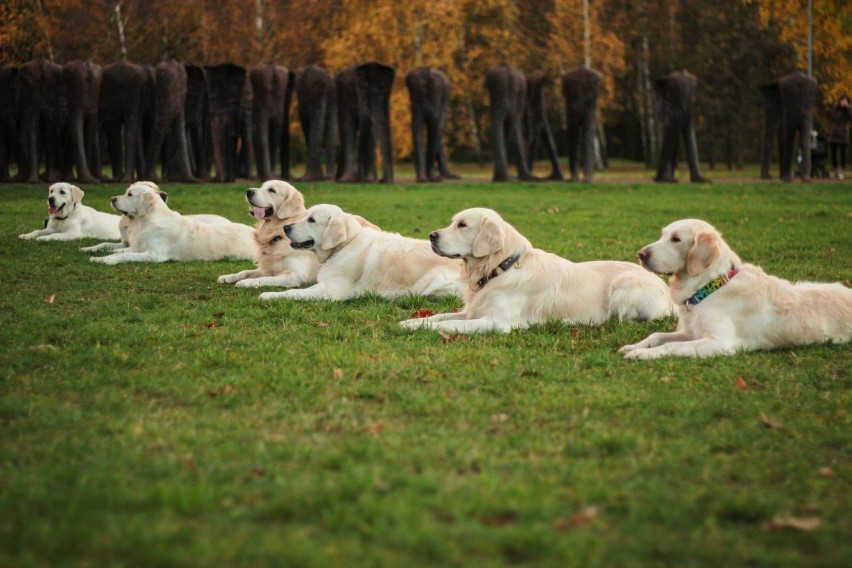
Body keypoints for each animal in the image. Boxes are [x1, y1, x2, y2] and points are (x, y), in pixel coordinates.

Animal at [91, 181, 256, 266]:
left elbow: (125, 256)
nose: (112, 198)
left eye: (130, 194)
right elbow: (120, 251)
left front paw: (108, 260)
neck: (145, 221)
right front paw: (99, 257)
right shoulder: (137, 247)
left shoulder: (155, 255)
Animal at [258, 204, 462, 302]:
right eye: (305, 216)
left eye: (312, 220)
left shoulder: (331, 291)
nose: (286, 227)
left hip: (436, 282)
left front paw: (268, 295)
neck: (345, 244)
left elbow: (294, 292)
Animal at [398, 207, 672, 332]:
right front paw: (410, 322)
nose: (431, 235)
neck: (501, 269)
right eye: (452, 222)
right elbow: (441, 316)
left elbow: (450, 325)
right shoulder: (473, 311)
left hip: (624, 286)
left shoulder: (498, 322)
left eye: (462, 225)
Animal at [620, 219, 852, 360]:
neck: (708, 287)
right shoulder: (691, 332)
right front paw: (633, 346)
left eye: (676, 239)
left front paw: (642, 355)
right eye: (663, 235)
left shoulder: (720, 343)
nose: (640, 254)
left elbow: (671, 346)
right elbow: (657, 335)